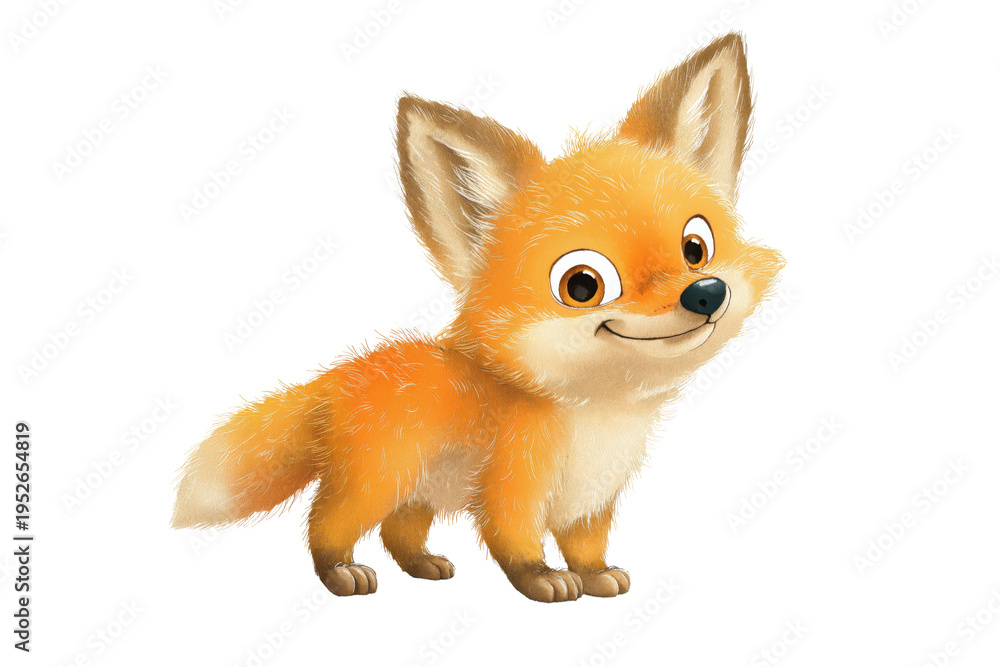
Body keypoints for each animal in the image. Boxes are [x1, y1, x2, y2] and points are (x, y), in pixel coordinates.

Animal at [172, 32, 783, 603]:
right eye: (583, 285)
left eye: (696, 248)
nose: (704, 293)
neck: (596, 418)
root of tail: (343, 376)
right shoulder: (512, 489)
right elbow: (515, 544)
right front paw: (543, 580)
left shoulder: (590, 501)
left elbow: (586, 547)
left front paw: (594, 575)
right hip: (375, 484)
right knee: (325, 523)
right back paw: (340, 571)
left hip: (417, 492)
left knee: (398, 532)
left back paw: (422, 565)